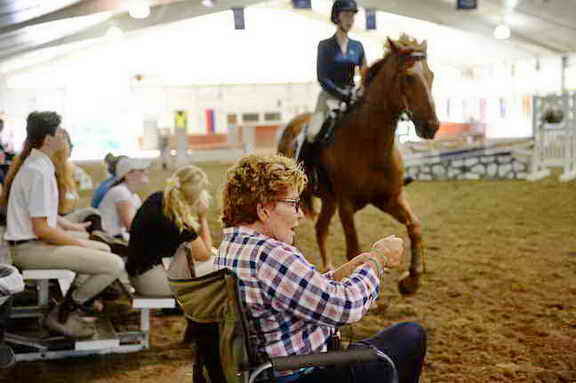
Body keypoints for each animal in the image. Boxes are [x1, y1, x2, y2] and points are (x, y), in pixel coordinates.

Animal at [276, 34, 438, 296]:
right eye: (408, 77)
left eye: (431, 74)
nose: (432, 126)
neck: (370, 144)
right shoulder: (347, 205)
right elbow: (355, 250)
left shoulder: (390, 198)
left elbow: (414, 226)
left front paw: (411, 280)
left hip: (329, 200)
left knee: (321, 228)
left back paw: (328, 268)